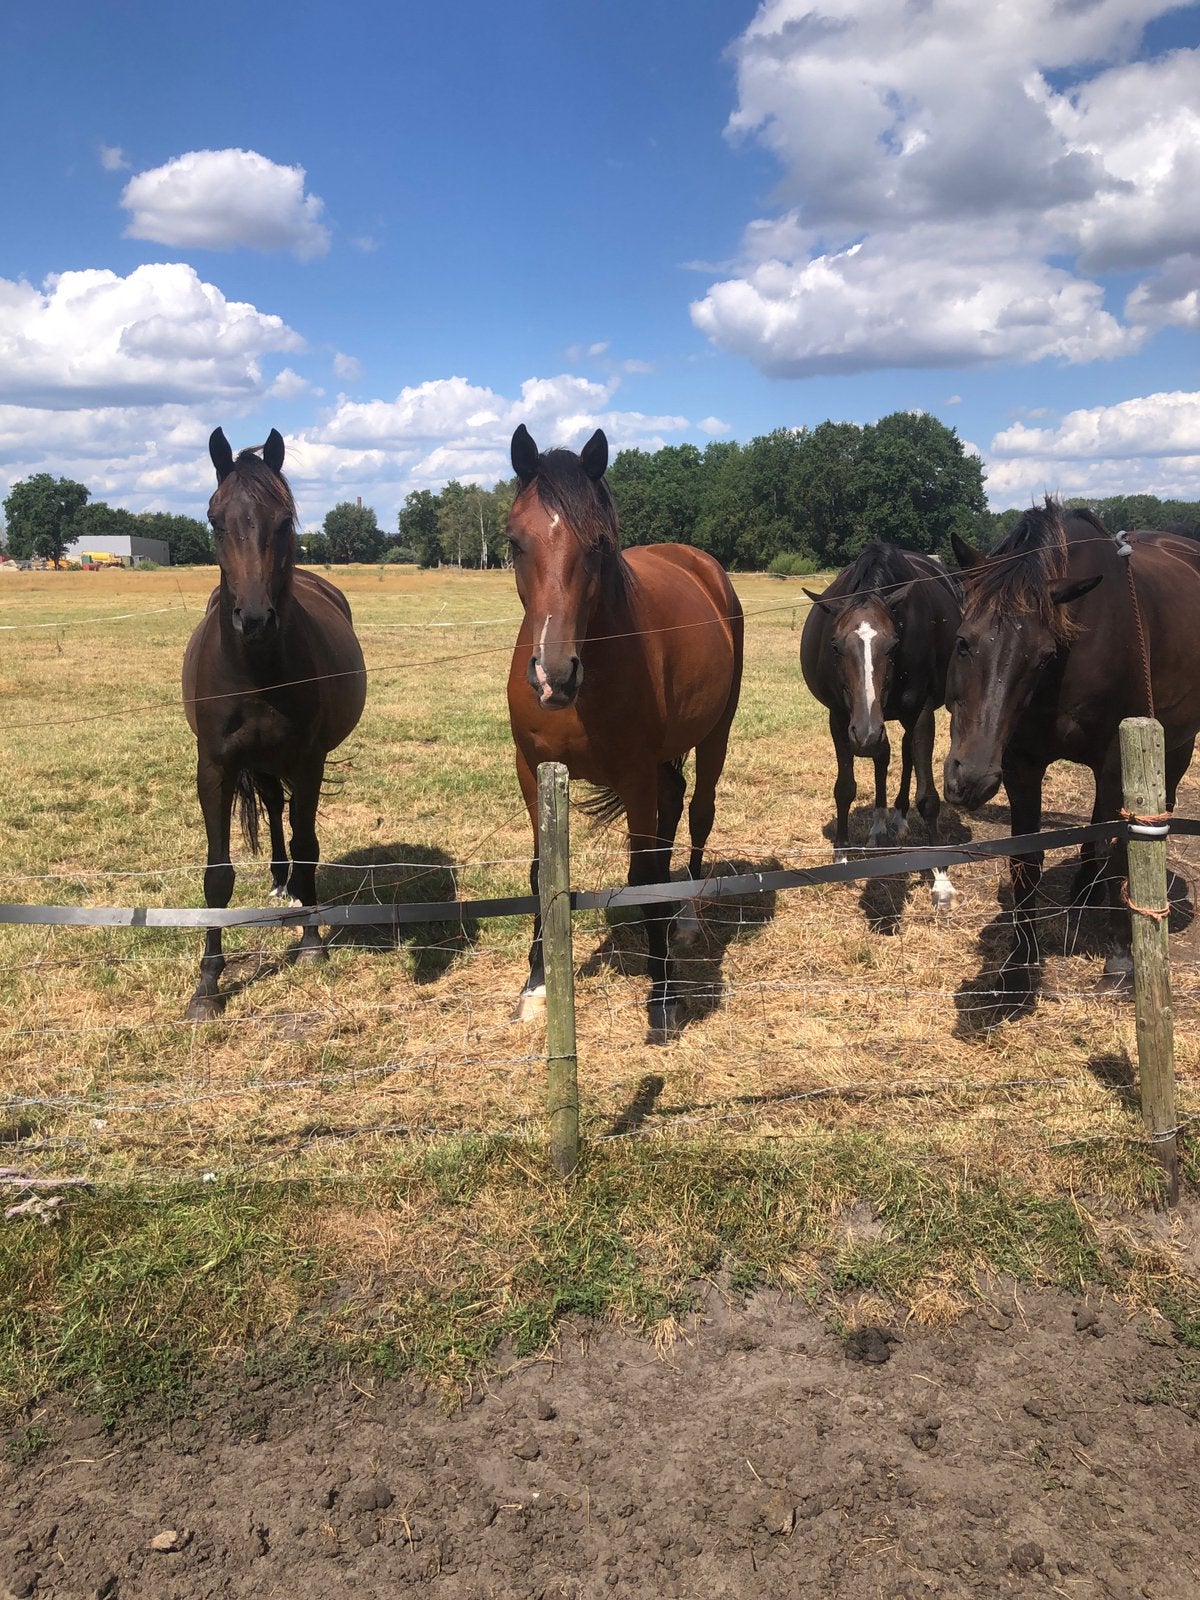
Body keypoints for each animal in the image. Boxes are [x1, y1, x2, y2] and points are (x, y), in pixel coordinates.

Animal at [181, 428, 367, 1021]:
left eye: (283, 521)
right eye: (214, 519)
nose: (256, 619)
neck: (255, 669)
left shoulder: (307, 762)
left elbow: (308, 844)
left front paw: (310, 942)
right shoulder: (215, 768)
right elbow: (217, 875)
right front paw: (207, 987)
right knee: (270, 804)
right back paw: (278, 881)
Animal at [505, 424, 744, 1037]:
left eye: (598, 545)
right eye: (515, 543)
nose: (554, 674)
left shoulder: (634, 776)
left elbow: (642, 875)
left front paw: (662, 994)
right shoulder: (531, 772)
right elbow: (541, 874)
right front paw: (535, 985)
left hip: (715, 734)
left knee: (698, 814)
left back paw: (685, 917)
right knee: (673, 806)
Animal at [800, 543, 962, 908]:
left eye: (893, 645)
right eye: (835, 645)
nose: (865, 733)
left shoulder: (921, 713)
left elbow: (928, 797)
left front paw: (941, 878)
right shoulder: (840, 718)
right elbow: (845, 788)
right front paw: (841, 856)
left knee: (903, 755)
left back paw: (898, 817)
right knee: (884, 756)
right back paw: (878, 824)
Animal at [944, 499, 1200, 988]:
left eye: (1043, 656)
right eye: (962, 641)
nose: (970, 779)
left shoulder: (1118, 758)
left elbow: (1118, 847)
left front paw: (1121, 957)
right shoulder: (1021, 765)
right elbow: (1026, 859)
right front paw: (1020, 964)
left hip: (1177, 741)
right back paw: (1084, 887)